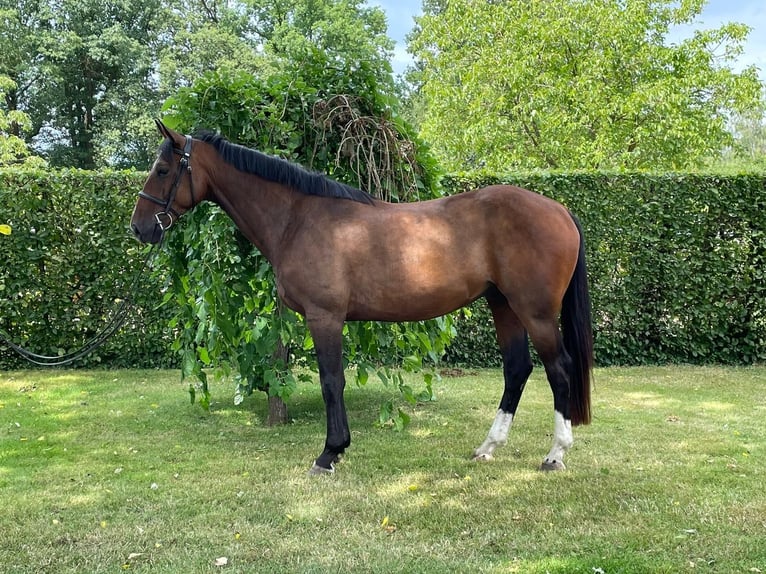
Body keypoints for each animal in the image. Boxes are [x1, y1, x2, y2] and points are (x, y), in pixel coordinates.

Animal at [132, 120, 592, 476]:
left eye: (162, 169)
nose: (139, 227)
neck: (298, 218)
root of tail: (560, 210)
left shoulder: (324, 317)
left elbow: (331, 381)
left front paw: (330, 453)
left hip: (535, 312)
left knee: (559, 369)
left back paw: (555, 454)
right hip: (503, 306)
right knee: (517, 369)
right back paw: (487, 447)